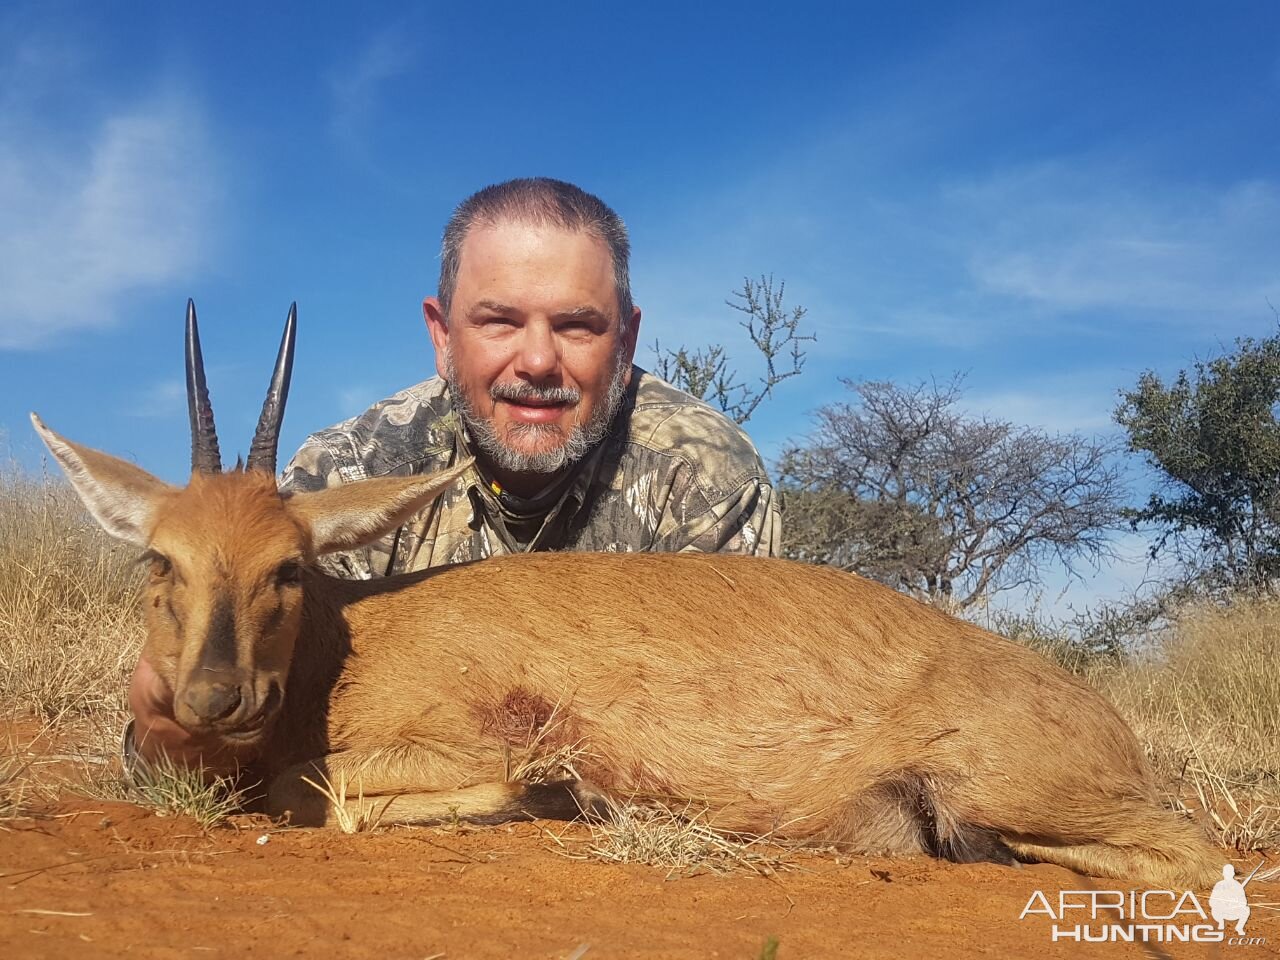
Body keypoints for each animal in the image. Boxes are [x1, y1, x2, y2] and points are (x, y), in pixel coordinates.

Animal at [35, 304, 1218, 890]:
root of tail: (1101, 719)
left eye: (288, 565)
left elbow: (315, 792)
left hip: (1011, 793)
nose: (215, 696)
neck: (347, 646)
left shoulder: (466, 743)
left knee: (1186, 855)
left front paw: (539, 802)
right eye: (160, 562)